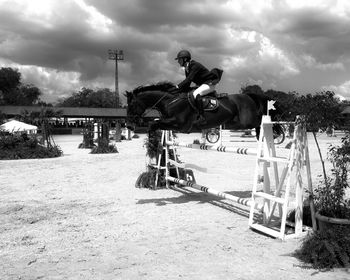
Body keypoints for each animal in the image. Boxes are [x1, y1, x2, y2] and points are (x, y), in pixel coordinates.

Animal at [127, 81, 278, 138]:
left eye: (132, 105)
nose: (128, 126)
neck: (170, 101)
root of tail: (248, 95)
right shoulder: (170, 123)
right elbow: (155, 123)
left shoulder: (179, 124)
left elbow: (153, 123)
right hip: (234, 123)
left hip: (247, 121)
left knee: (261, 123)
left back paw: (272, 133)